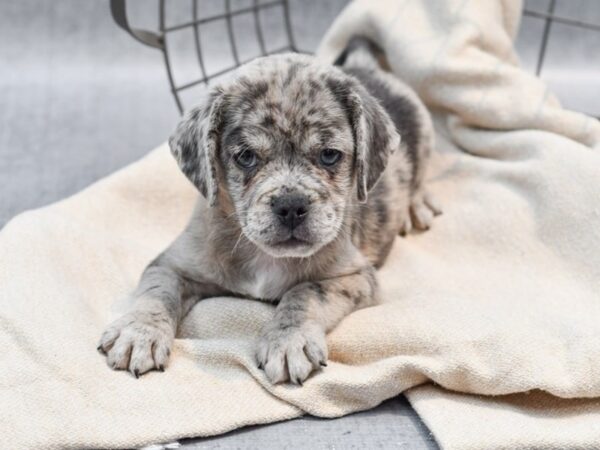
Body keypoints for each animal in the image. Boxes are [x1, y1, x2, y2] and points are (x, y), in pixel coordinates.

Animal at [96, 37, 438, 384]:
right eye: (246, 157)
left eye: (329, 155)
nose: (291, 206)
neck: (265, 257)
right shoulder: (172, 265)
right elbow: (157, 293)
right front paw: (139, 332)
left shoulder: (355, 276)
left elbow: (305, 292)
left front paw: (288, 340)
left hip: (425, 134)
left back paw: (417, 208)